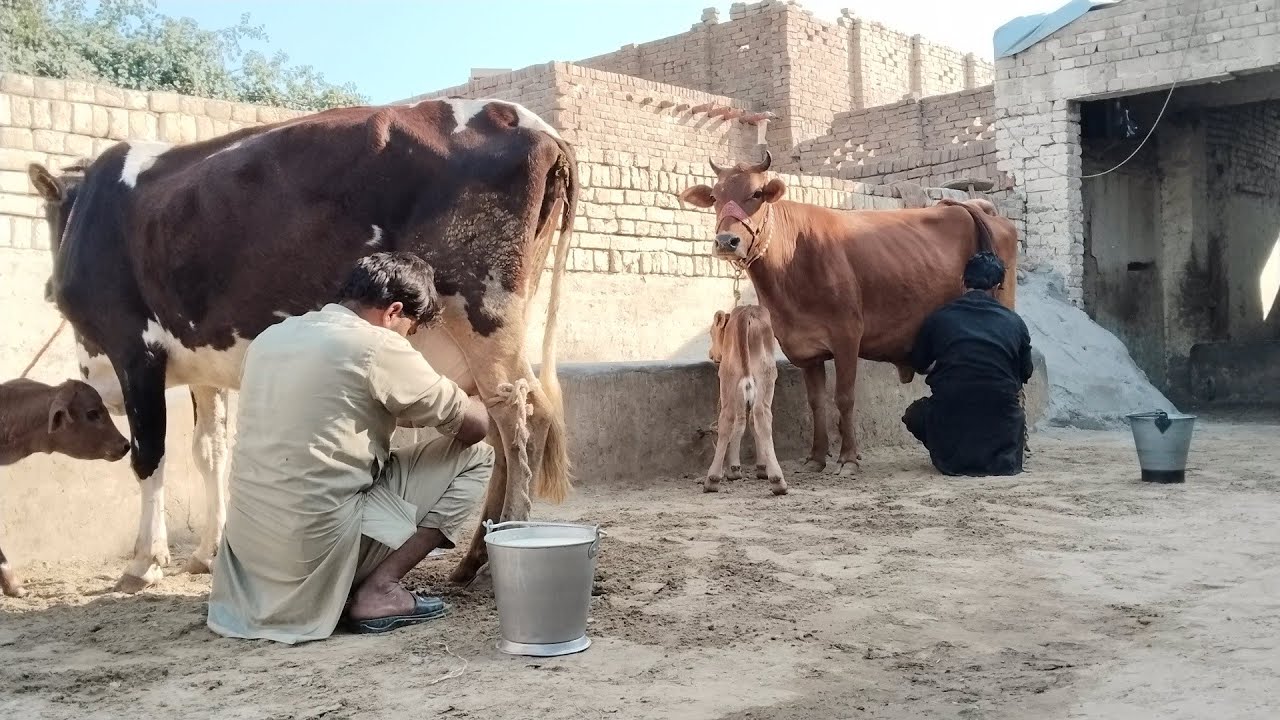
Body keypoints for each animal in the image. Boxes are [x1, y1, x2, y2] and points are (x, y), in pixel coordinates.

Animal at [28, 96, 578, 593]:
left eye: (51, 218)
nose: (49, 289)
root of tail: (532, 123)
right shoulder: (201, 365)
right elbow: (208, 452)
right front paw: (206, 553)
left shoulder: (133, 350)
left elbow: (149, 457)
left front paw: (144, 562)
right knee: (505, 428)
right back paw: (472, 559)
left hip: (483, 310)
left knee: (525, 417)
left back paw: (498, 553)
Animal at [705, 305, 787, 496]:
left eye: (712, 332)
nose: (711, 354)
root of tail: (746, 312)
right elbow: (748, 422)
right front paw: (760, 467)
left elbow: (742, 422)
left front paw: (735, 468)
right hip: (766, 376)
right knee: (761, 416)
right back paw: (777, 480)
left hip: (729, 377)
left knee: (728, 419)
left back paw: (713, 479)